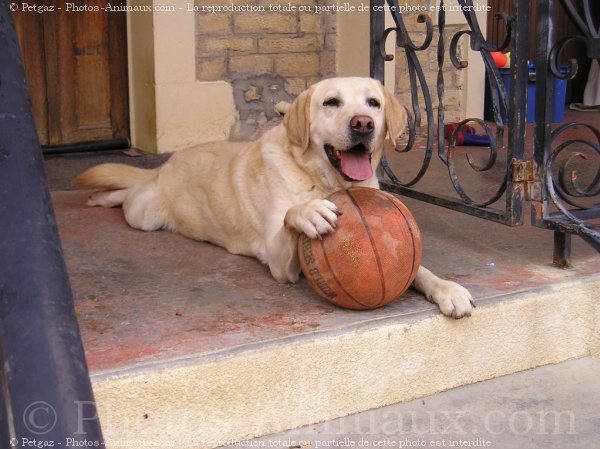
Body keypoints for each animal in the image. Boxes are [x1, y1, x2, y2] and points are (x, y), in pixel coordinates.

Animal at [75, 77, 474, 316]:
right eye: (331, 102)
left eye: (373, 103)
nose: (363, 123)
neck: (325, 182)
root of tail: (168, 163)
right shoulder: (281, 263)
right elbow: (289, 218)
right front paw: (308, 213)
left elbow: (419, 268)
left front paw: (447, 289)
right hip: (144, 214)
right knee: (128, 193)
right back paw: (99, 198)